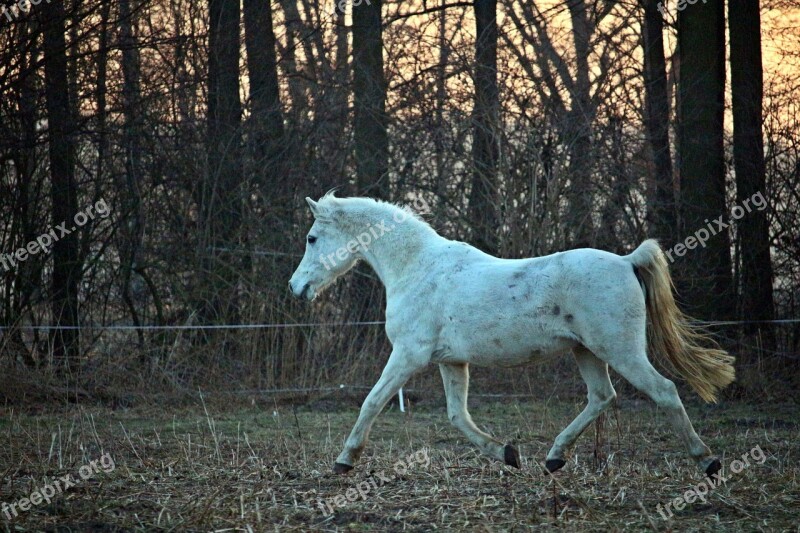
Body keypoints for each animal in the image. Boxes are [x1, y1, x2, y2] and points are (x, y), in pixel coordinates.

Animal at [290, 194, 736, 478]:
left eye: (312, 238)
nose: (296, 287)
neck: (418, 268)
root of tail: (627, 261)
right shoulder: (451, 361)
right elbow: (457, 416)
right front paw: (507, 453)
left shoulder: (408, 356)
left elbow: (371, 401)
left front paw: (345, 460)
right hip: (587, 352)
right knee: (601, 397)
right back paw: (553, 459)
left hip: (620, 350)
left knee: (664, 391)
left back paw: (708, 462)